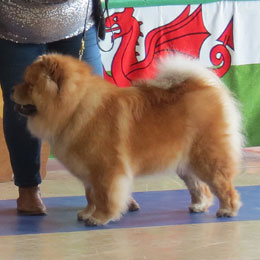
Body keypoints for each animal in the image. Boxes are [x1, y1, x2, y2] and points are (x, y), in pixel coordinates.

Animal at [12, 53, 244, 225]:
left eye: (29, 85)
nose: (12, 89)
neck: (76, 106)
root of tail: (204, 87)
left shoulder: (105, 169)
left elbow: (104, 195)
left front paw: (99, 218)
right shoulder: (90, 171)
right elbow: (91, 195)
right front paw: (87, 213)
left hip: (206, 157)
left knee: (222, 184)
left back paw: (227, 210)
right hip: (185, 163)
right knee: (200, 187)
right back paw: (199, 206)